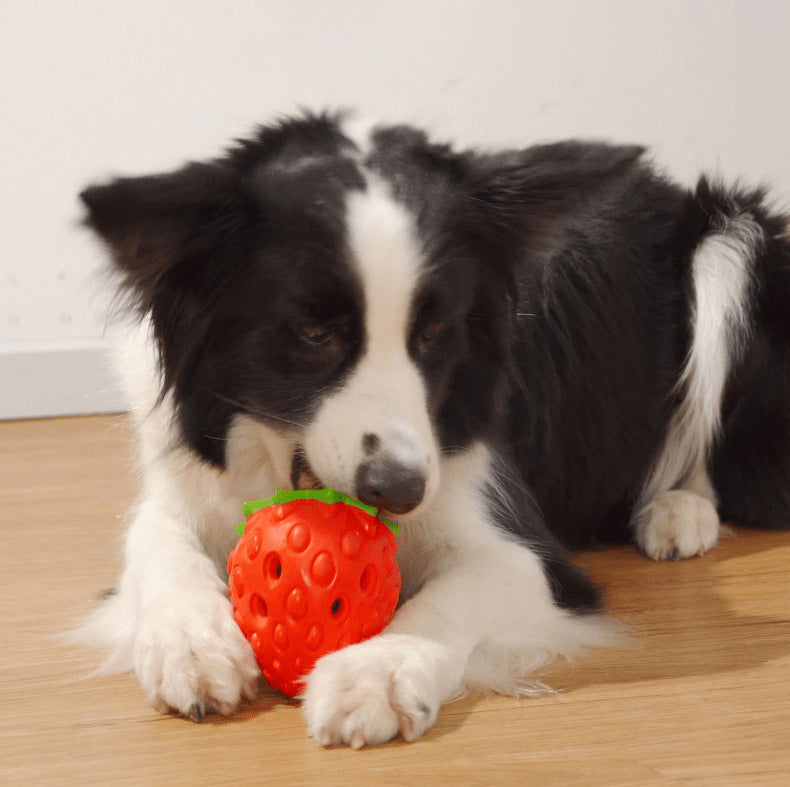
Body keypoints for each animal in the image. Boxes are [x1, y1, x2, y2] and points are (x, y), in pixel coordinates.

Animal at [77, 109, 790, 744]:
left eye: (436, 332)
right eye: (312, 332)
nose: (400, 490)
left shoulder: (524, 548)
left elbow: (451, 599)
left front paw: (374, 675)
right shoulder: (181, 484)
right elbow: (159, 545)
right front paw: (192, 643)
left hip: (734, 241)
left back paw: (678, 511)